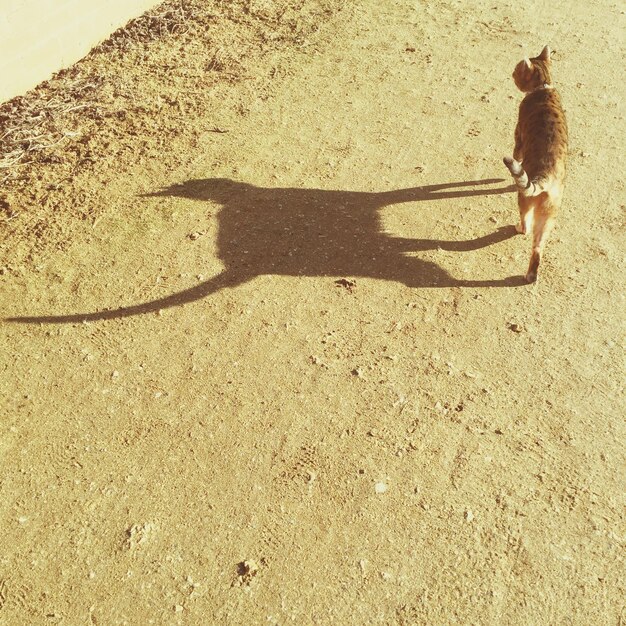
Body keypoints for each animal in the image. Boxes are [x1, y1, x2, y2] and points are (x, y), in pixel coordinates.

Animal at [502, 47, 564, 282]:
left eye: (516, 71)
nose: (511, 74)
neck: (543, 86)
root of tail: (547, 177)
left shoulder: (518, 137)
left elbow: (516, 157)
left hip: (525, 200)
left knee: (527, 224)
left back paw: (520, 227)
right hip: (549, 215)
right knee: (538, 247)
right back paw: (531, 276)